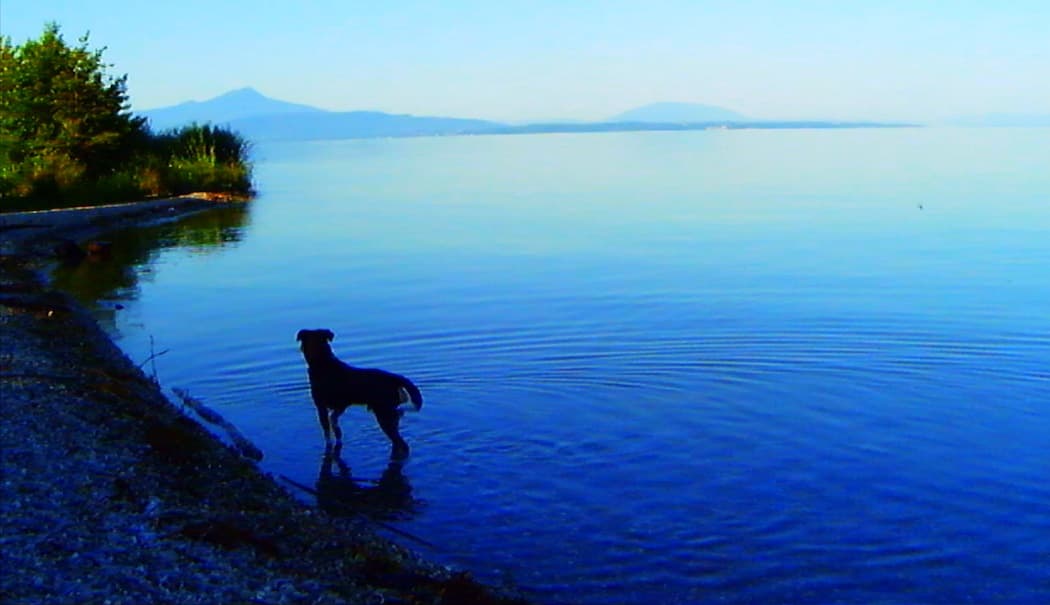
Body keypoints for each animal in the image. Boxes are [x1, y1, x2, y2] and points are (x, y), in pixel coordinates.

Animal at [296, 327, 422, 455]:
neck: (322, 361)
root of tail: (395, 378)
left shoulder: (321, 406)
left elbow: (327, 432)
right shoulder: (341, 406)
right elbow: (335, 423)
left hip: (384, 415)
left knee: (401, 443)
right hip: (389, 412)